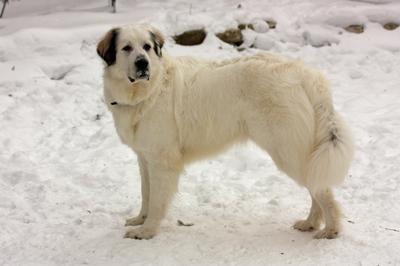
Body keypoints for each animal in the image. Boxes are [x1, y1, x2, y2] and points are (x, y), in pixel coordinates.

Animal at [97, 23, 354, 240]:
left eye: (147, 47)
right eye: (126, 48)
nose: (142, 63)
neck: (149, 90)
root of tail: (304, 74)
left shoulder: (162, 161)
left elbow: (157, 200)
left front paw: (147, 231)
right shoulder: (145, 158)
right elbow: (146, 193)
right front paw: (140, 219)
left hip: (289, 151)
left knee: (322, 191)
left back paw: (330, 230)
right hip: (301, 153)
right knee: (316, 186)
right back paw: (310, 223)